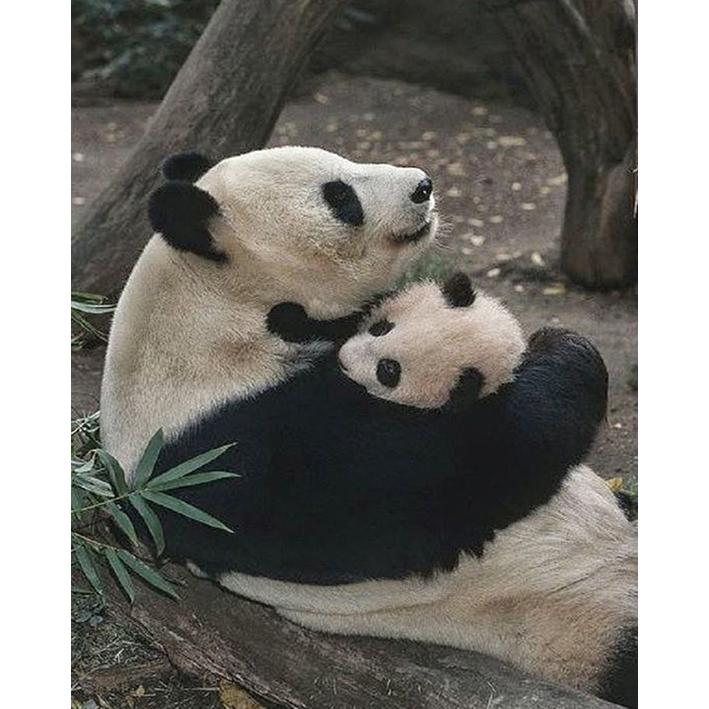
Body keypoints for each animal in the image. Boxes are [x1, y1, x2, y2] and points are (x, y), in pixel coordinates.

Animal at [102, 148, 636, 706]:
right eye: (341, 198)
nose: (423, 185)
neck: (211, 305)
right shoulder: (232, 451)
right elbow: (454, 474)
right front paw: (558, 357)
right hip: (571, 619)